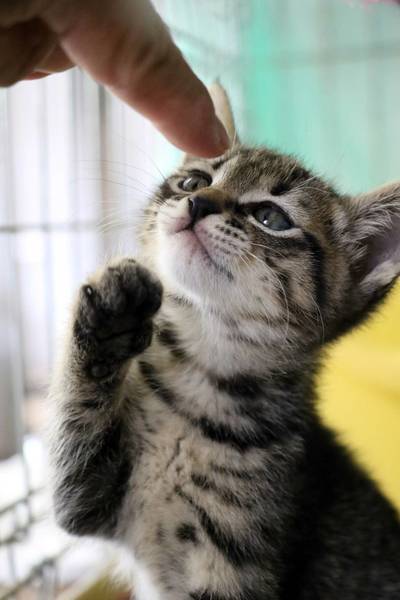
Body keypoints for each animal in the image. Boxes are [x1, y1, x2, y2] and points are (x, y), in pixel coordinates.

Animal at [49, 84, 400, 600]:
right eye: (193, 182)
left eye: (271, 217)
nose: (199, 203)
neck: (200, 373)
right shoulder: (91, 500)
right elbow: (74, 440)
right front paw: (111, 320)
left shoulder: (234, 571)